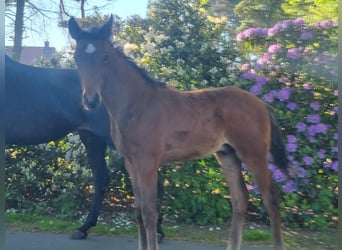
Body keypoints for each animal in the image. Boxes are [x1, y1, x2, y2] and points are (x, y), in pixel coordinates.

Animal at [68, 16, 288, 250]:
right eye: (77, 58)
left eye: (105, 57)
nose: (91, 101)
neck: (137, 104)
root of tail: (261, 104)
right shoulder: (131, 163)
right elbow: (138, 212)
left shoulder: (147, 162)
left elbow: (149, 212)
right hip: (227, 154)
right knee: (240, 200)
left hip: (253, 154)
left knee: (271, 199)